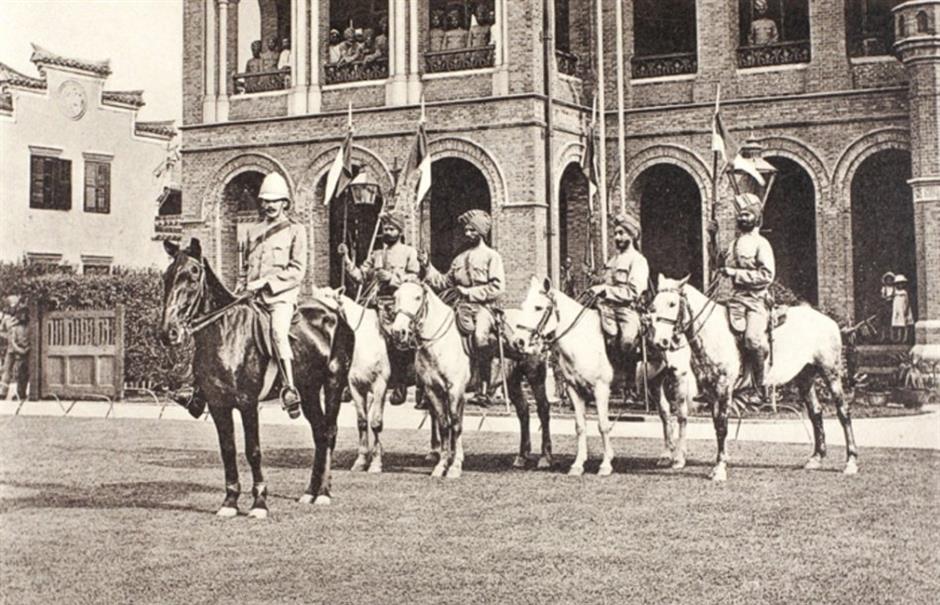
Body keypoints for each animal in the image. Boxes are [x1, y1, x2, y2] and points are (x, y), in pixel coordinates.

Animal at [160, 238, 354, 516]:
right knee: (319, 433)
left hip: (333, 383)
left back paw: (324, 493)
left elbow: (253, 451)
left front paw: (259, 502)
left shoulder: (248, 404)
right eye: (166, 276)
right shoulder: (218, 405)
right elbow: (228, 450)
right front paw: (229, 502)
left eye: (193, 275)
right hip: (307, 391)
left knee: (328, 432)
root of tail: (335, 314)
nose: (169, 333)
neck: (226, 333)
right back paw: (310, 492)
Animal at [390, 278, 470, 476]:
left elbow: (455, 424)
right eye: (395, 296)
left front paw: (455, 467)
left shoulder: (455, 389)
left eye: (417, 297)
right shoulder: (433, 390)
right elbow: (443, 424)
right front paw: (442, 465)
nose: (398, 331)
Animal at [516, 276, 616, 474]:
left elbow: (603, 426)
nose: (519, 341)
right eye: (523, 306)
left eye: (538, 307)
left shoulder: (601, 389)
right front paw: (578, 465)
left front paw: (606, 464)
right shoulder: (574, 390)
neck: (583, 339)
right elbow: (580, 426)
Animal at [648, 274, 856, 482]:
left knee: (843, 412)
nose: (660, 342)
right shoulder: (712, 391)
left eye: (672, 303)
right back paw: (816, 458)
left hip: (831, 372)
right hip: (805, 376)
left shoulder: (724, 388)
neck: (713, 334)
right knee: (816, 412)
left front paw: (720, 469)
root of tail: (829, 321)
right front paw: (719, 463)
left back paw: (851, 462)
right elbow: (717, 426)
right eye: (654, 306)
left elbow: (722, 426)